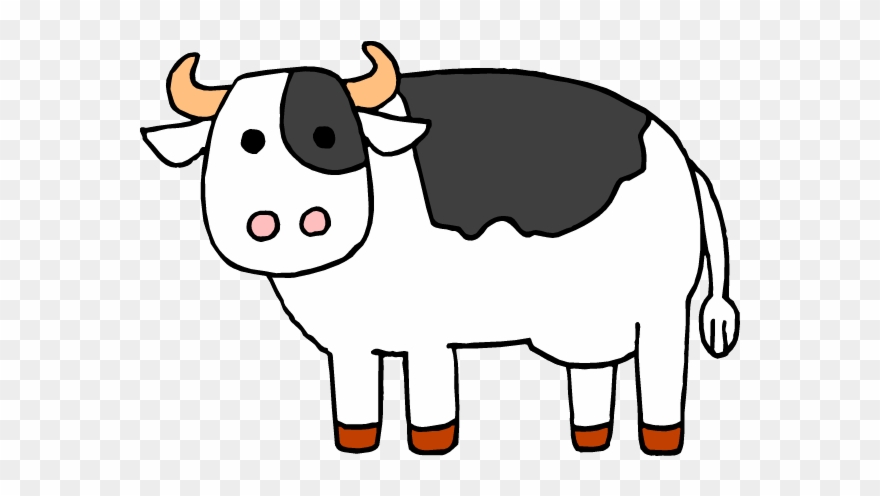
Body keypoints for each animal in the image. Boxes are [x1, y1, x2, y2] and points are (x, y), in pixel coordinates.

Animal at [141, 42, 740, 456]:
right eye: (246, 141)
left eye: (327, 136)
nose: (285, 218)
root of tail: (679, 152)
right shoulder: (348, 346)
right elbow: (356, 405)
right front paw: (356, 448)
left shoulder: (429, 333)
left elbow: (430, 404)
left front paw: (430, 450)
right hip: (587, 321)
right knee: (592, 377)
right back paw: (587, 442)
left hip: (664, 311)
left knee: (661, 379)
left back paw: (659, 443)